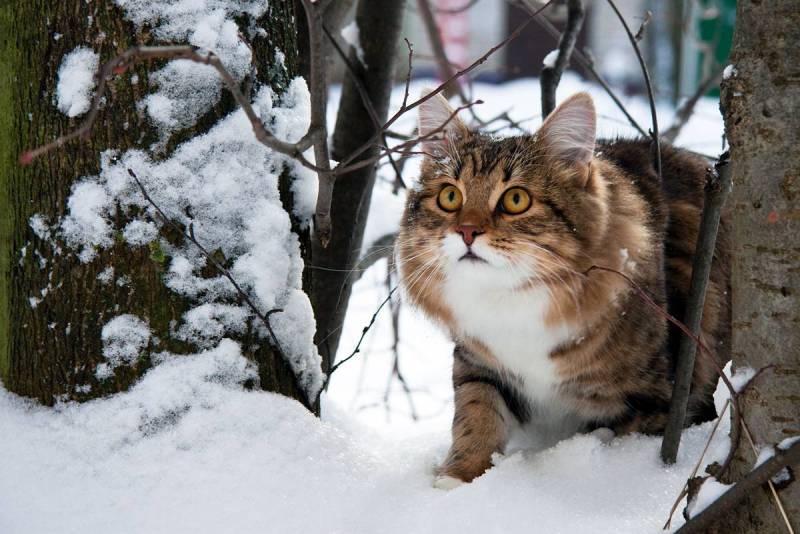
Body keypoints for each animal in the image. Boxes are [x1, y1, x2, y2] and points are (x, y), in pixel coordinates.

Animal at [396, 91, 728, 490]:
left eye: (516, 200)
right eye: (449, 196)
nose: (466, 231)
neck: (512, 302)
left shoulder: (659, 399)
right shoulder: (480, 364)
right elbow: (476, 415)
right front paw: (459, 479)